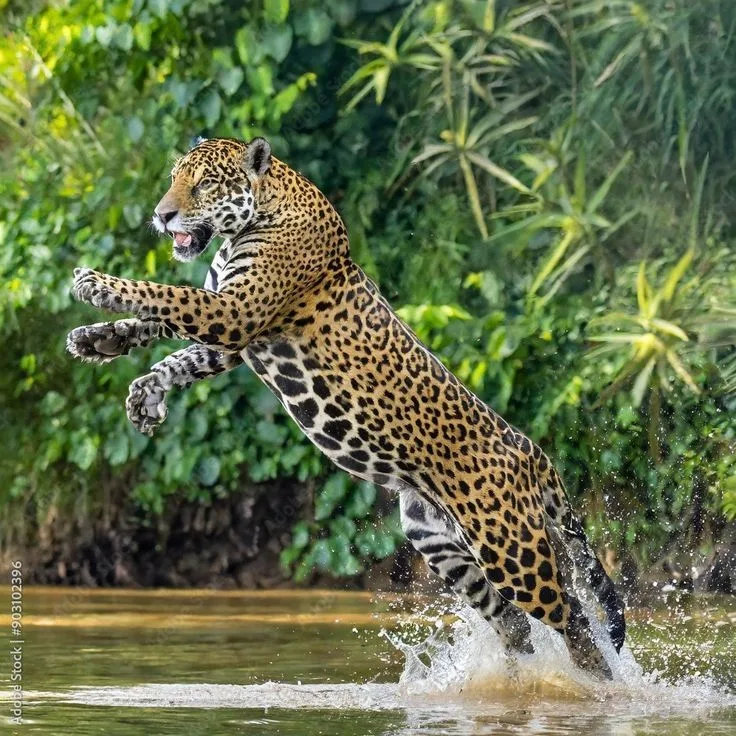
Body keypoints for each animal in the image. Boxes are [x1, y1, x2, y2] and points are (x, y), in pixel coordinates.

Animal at [66, 136, 625, 678]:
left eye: (203, 184)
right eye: (174, 180)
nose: (162, 216)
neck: (259, 212)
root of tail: (527, 446)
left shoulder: (235, 312)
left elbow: (162, 295)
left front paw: (97, 285)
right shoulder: (230, 334)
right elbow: (164, 333)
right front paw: (107, 352)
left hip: (510, 550)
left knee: (574, 617)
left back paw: (589, 684)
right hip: (439, 544)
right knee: (514, 624)